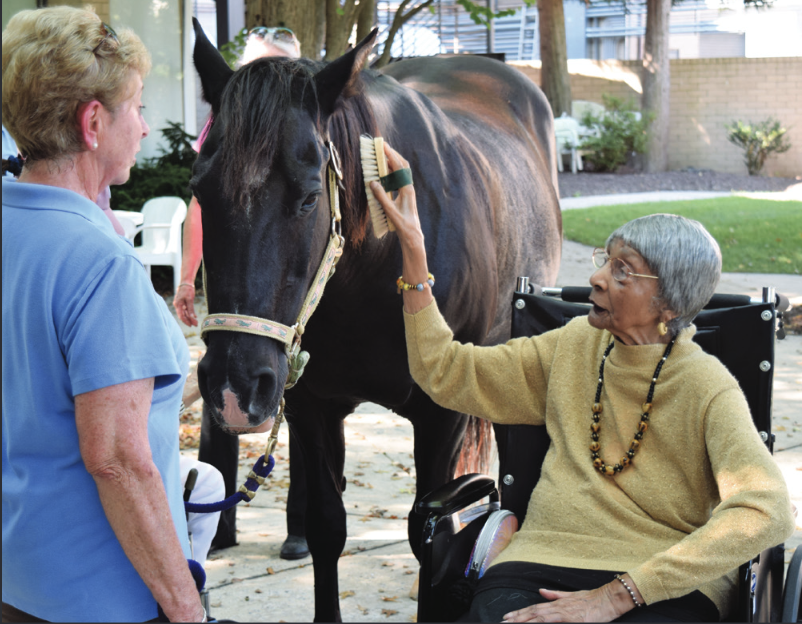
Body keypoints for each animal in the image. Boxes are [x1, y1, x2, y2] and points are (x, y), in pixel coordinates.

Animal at [191, 22, 560, 620]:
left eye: (309, 197)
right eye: (200, 191)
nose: (233, 386)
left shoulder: (441, 417)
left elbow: (426, 529)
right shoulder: (310, 406)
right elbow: (326, 526)